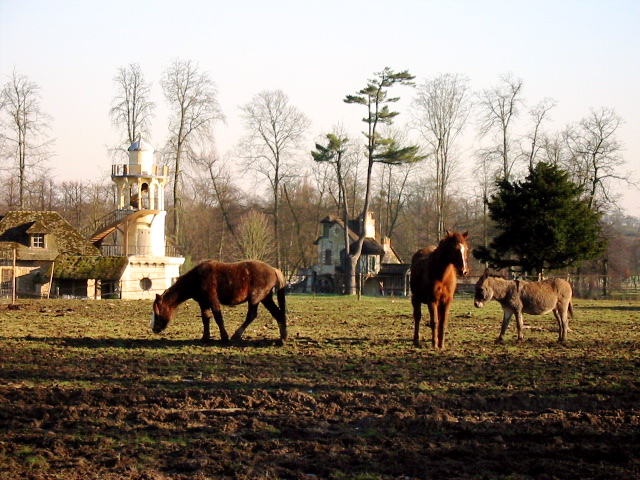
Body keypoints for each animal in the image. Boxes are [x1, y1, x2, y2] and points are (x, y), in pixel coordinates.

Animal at [151, 259, 288, 344]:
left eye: (158, 312)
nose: (154, 328)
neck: (197, 278)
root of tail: (274, 270)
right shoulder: (203, 303)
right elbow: (206, 318)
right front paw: (205, 338)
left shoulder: (212, 300)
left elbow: (218, 317)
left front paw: (224, 337)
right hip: (266, 298)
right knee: (278, 314)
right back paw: (282, 338)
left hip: (255, 298)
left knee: (252, 315)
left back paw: (236, 335)